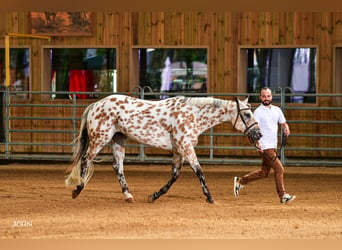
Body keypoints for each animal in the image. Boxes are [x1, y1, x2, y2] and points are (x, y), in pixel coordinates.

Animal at [65, 94, 262, 203]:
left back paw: (128, 196)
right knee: (86, 160)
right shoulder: (186, 147)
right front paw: (210, 197)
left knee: (117, 167)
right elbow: (199, 171)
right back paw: (77, 189)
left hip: (118, 140)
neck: (193, 114)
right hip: (100, 139)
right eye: (246, 114)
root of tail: (96, 104)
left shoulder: (178, 150)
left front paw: (154, 196)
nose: (258, 135)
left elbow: (174, 175)